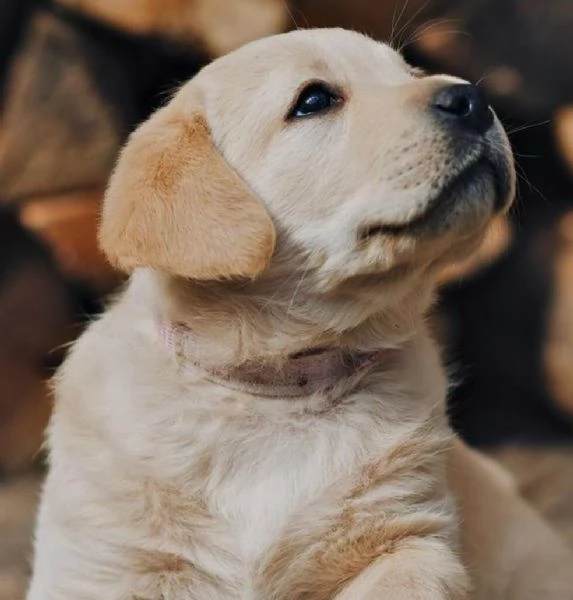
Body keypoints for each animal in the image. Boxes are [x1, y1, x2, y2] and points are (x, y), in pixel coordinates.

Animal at [29, 29, 572, 600]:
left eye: (410, 72)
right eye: (314, 100)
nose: (473, 98)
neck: (279, 388)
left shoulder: (412, 543)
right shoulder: (101, 566)